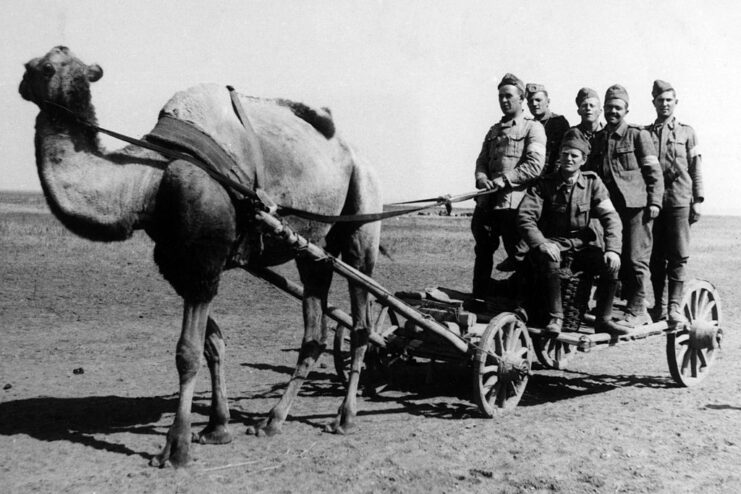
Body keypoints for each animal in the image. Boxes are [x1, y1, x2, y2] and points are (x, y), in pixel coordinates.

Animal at [18, 45, 382, 466]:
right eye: (31, 64)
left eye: (46, 67)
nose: (22, 81)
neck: (149, 180)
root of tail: (356, 155)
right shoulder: (179, 264)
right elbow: (213, 344)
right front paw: (216, 429)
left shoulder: (203, 264)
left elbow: (187, 352)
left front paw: (176, 447)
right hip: (312, 249)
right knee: (315, 331)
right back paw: (271, 421)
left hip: (363, 208)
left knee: (361, 322)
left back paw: (344, 417)